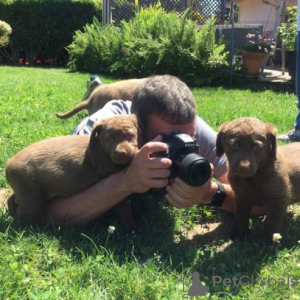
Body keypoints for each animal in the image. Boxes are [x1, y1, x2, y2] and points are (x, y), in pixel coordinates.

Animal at [5, 113, 139, 233]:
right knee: (24, 221)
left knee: (12, 200)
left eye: (130, 135)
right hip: (31, 198)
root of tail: (8, 164)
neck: (101, 150)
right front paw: (131, 232)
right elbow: (124, 210)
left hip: (25, 191)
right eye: (109, 138)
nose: (122, 153)